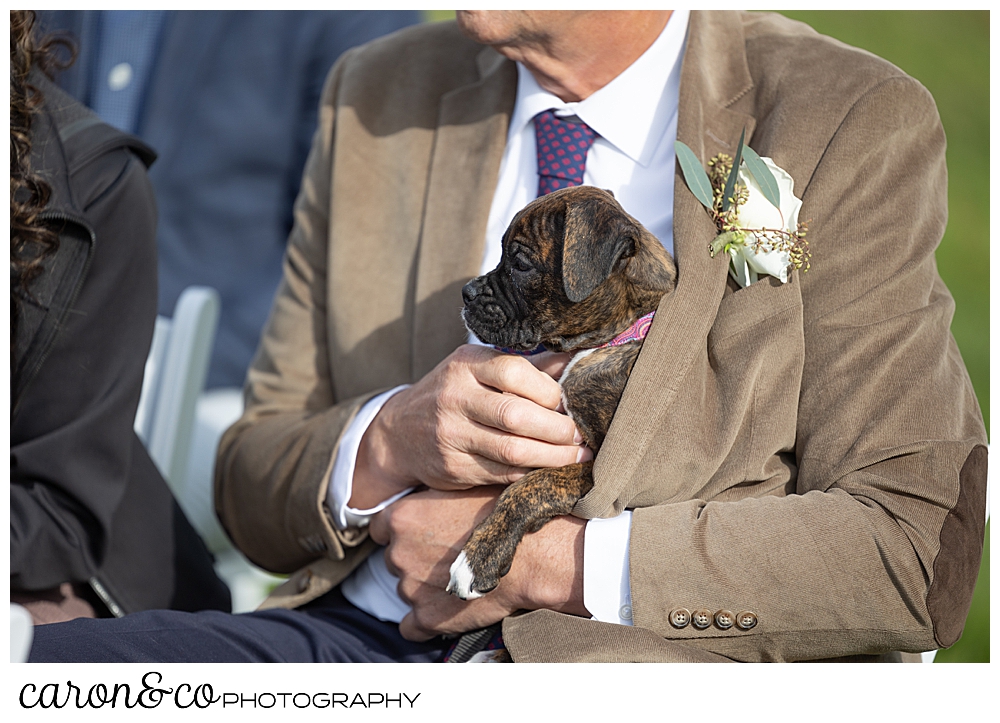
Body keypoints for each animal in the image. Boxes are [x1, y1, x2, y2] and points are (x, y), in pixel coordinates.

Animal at [452, 185, 680, 600]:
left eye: (520, 264)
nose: (466, 292)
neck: (627, 329)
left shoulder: (613, 476)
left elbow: (534, 484)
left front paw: (478, 556)